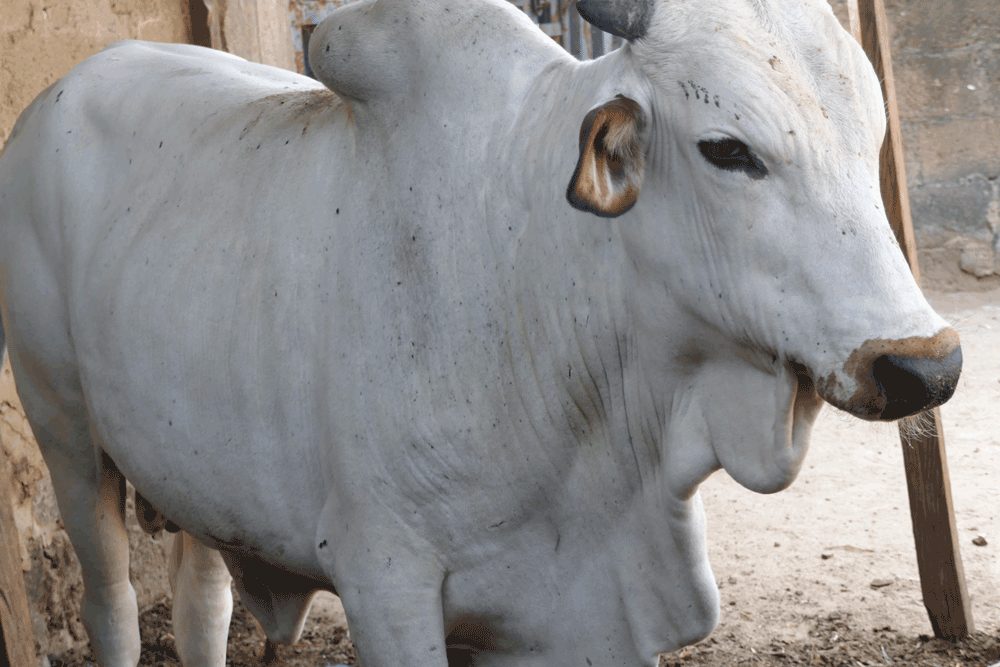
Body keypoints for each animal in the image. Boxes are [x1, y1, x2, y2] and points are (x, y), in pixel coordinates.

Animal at [0, 0, 962, 665]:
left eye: (872, 133)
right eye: (728, 149)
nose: (926, 366)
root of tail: (58, 93)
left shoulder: (569, 615)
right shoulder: (386, 583)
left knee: (202, 605)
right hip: (67, 436)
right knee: (114, 607)